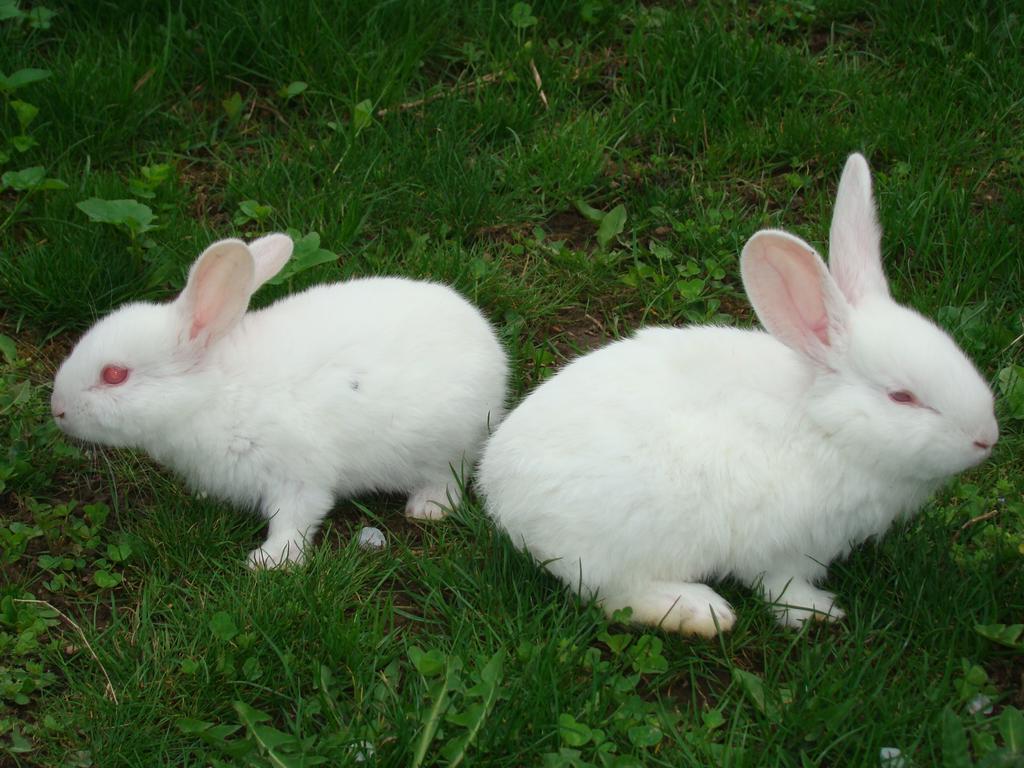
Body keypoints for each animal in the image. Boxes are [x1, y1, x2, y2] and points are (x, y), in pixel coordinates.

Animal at [51, 236, 507, 573]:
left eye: (114, 374)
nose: (57, 410)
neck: (214, 391)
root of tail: (494, 353)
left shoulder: (298, 473)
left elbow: (295, 519)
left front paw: (268, 562)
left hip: (446, 446)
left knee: (448, 476)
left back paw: (427, 509)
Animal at [481, 154, 999, 638]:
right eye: (901, 397)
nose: (987, 439)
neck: (827, 429)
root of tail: (499, 491)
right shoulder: (785, 546)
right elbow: (780, 587)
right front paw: (819, 612)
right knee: (615, 594)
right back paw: (700, 611)